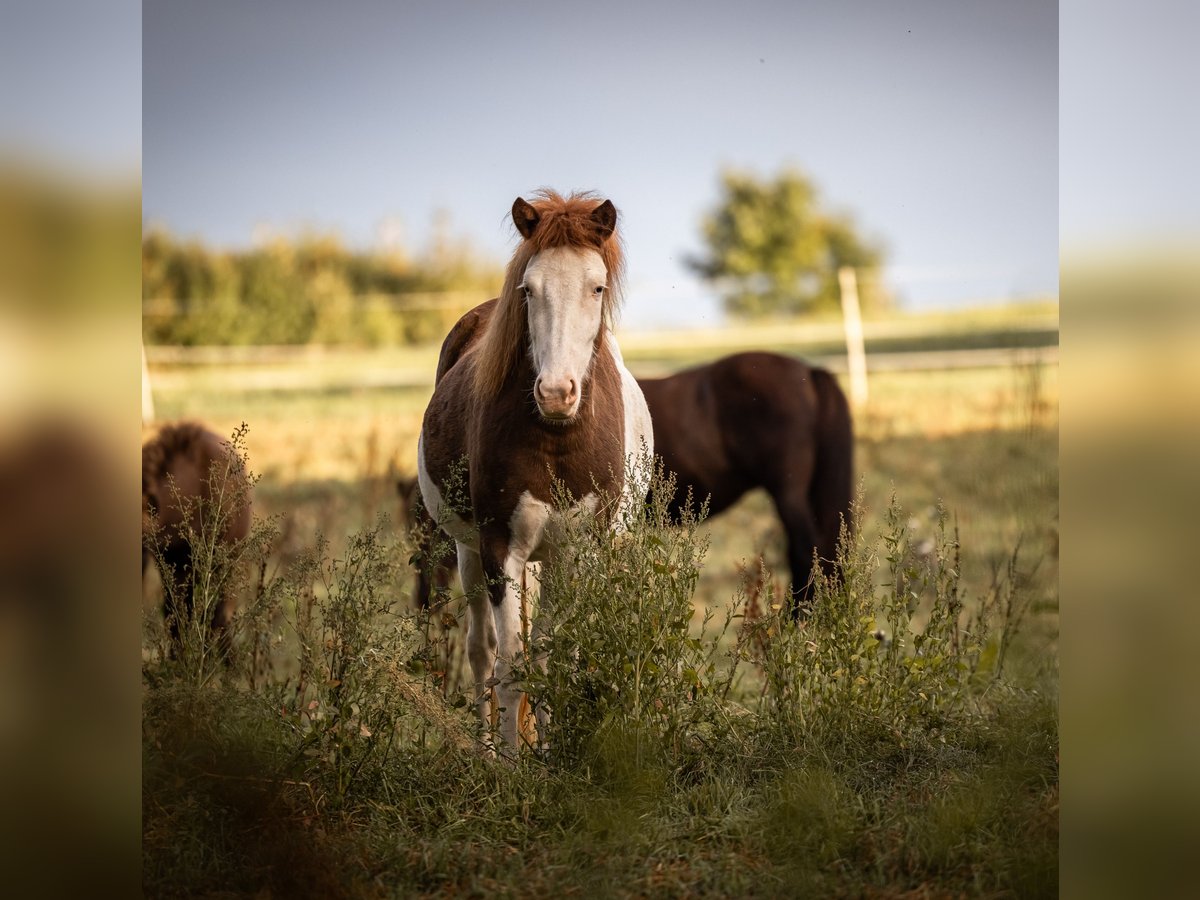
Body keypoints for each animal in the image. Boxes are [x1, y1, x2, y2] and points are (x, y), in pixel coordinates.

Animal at [417, 190, 652, 753]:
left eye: (596, 287)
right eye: (529, 289)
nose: (556, 393)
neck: (556, 437)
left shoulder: (578, 552)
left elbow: (554, 657)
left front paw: (553, 753)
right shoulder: (501, 550)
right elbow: (511, 667)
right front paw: (508, 763)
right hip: (470, 551)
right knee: (481, 651)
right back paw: (485, 750)